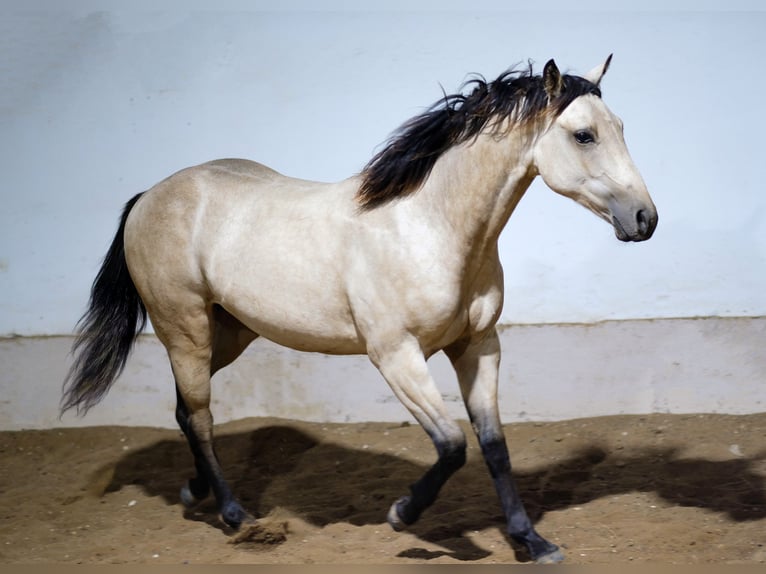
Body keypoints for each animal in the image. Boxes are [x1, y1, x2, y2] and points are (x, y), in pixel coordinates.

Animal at [62, 56, 657, 563]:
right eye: (583, 135)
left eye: (622, 126)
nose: (644, 218)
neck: (430, 227)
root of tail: (149, 196)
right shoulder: (395, 355)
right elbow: (452, 443)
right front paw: (402, 514)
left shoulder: (478, 346)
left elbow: (492, 444)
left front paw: (532, 542)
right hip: (184, 329)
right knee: (202, 416)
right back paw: (235, 515)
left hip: (226, 334)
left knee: (185, 411)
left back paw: (195, 492)